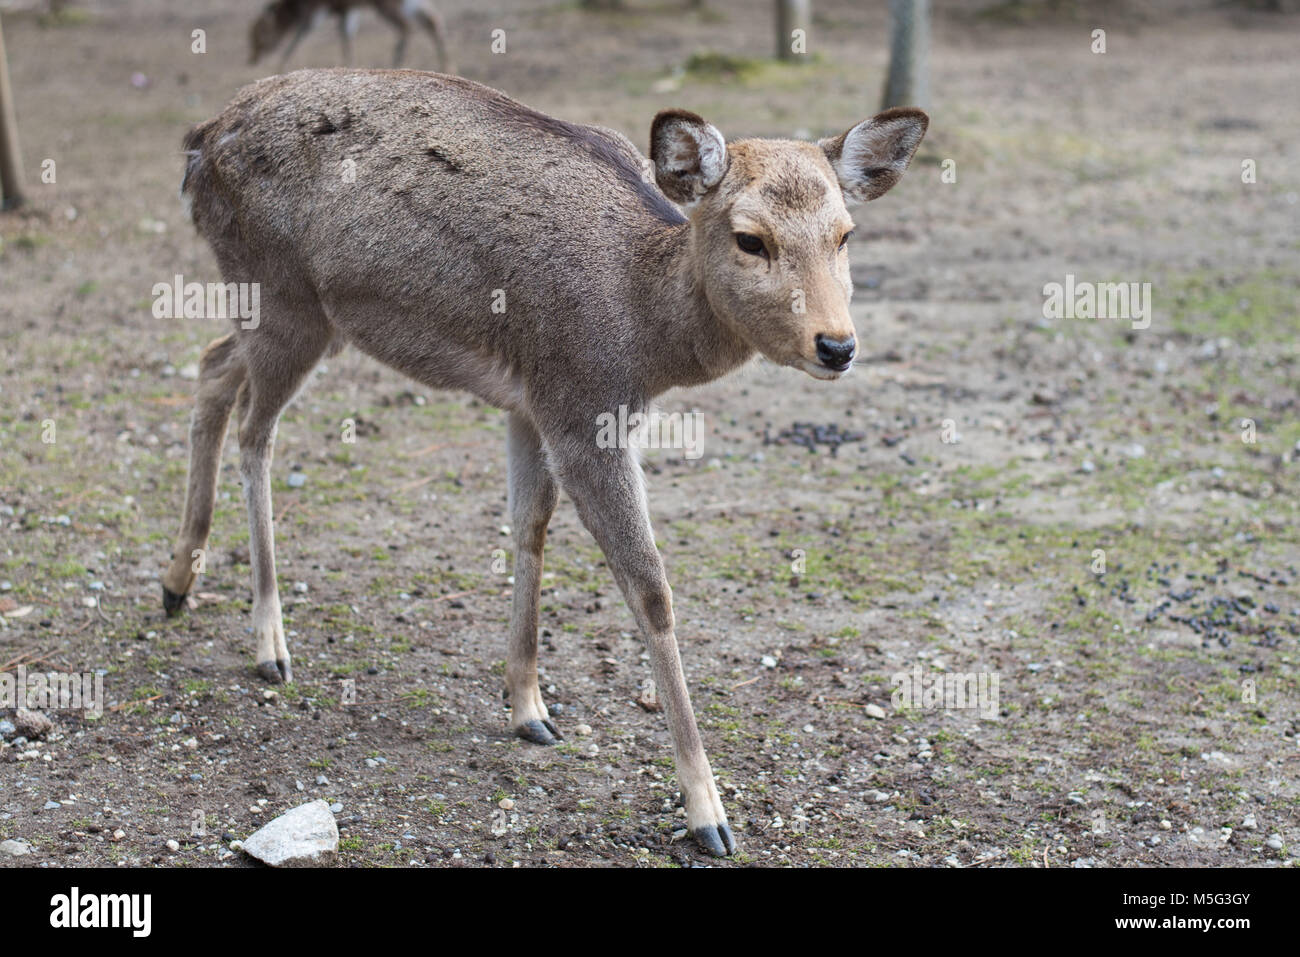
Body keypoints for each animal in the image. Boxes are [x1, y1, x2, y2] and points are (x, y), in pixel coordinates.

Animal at [162, 70, 930, 858]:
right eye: (751, 239)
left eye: (845, 234)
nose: (837, 345)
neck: (645, 330)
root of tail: (199, 142)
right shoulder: (579, 404)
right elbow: (650, 586)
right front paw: (708, 813)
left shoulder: (529, 400)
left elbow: (529, 525)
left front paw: (528, 706)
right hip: (280, 292)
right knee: (256, 431)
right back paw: (268, 643)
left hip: (304, 314)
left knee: (212, 365)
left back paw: (178, 580)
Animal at [248, 0, 452, 71]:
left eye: (260, 33)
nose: (252, 58)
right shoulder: (347, 11)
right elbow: (346, 38)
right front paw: (349, 64)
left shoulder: (317, 9)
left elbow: (300, 35)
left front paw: (281, 65)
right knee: (434, 20)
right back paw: (446, 67)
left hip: (387, 5)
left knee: (406, 27)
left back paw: (395, 64)